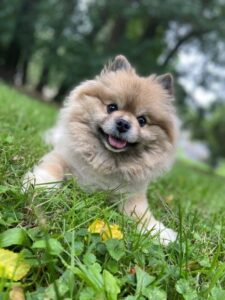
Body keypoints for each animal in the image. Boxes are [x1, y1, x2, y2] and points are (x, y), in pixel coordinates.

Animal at [23, 55, 179, 245]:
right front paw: (41, 183)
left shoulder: (132, 195)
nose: (123, 124)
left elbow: (141, 213)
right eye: (111, 107)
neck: (106, 159)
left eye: (142, 120)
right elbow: (53, 167)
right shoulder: (62, 157)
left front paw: (157, 231)